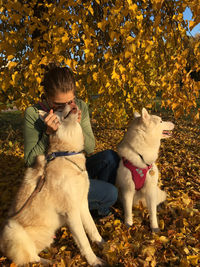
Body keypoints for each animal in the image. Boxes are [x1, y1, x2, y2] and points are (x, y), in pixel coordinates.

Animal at [0, 104, 104, 267]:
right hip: (12, 229)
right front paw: (94, 261)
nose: (71, 103)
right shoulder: (71, 212)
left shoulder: (82, 204)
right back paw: (49, 261)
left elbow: (93, 229)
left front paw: (104, 244)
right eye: (60, 110)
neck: (67, 154)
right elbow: (84, 241)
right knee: (31, 258)